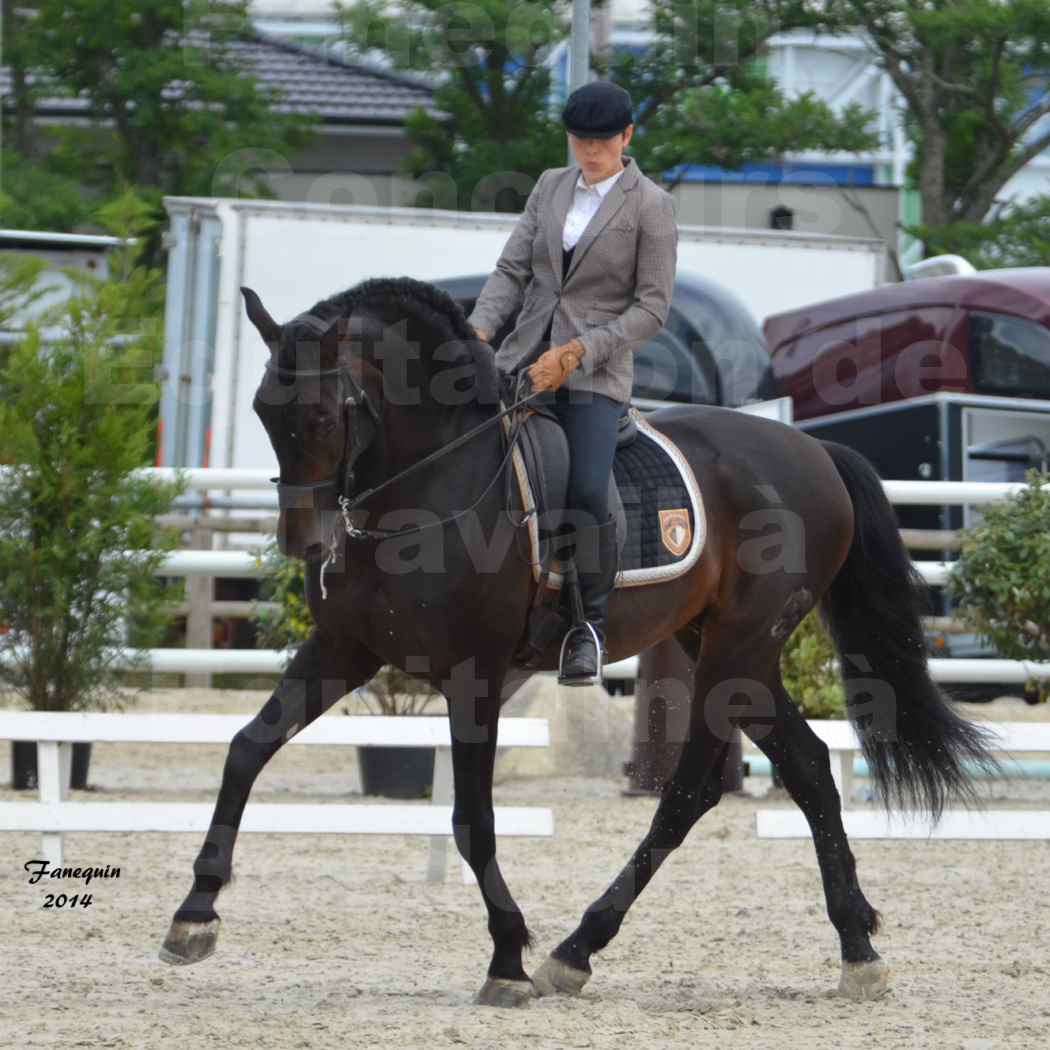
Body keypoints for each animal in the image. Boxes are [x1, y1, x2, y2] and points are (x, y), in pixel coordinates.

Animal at [159, 277, 995, 1007]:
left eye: (327, 413)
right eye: (264, 411)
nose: (304, 544)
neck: (424, 486)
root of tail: (815, 451)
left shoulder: (475, 675)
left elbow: (473, 821)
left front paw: (506, 959)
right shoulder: (344, 649)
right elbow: (245, 750)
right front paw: (193, 915)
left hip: (737, 650)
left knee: (687, 795)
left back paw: (574, 950)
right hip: (730, 652)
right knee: (809, 768)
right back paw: (856, 950)